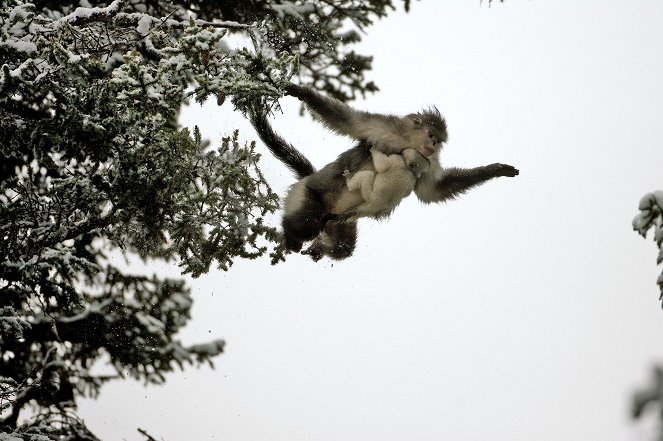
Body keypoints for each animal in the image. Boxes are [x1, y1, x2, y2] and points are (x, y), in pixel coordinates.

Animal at [249, 84, 520, 260]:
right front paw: (298, 90)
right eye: (432, 136)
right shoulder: (385, 129)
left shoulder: (429, 161)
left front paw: (496, 170)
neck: (409, 143)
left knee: (343, 246)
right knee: (305, 222)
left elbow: (433, 190)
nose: (433, 145)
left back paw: (321, 249)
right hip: (309, 195)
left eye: (438, 141)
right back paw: (292, 238)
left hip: (339, 221)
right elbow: (347, 120)